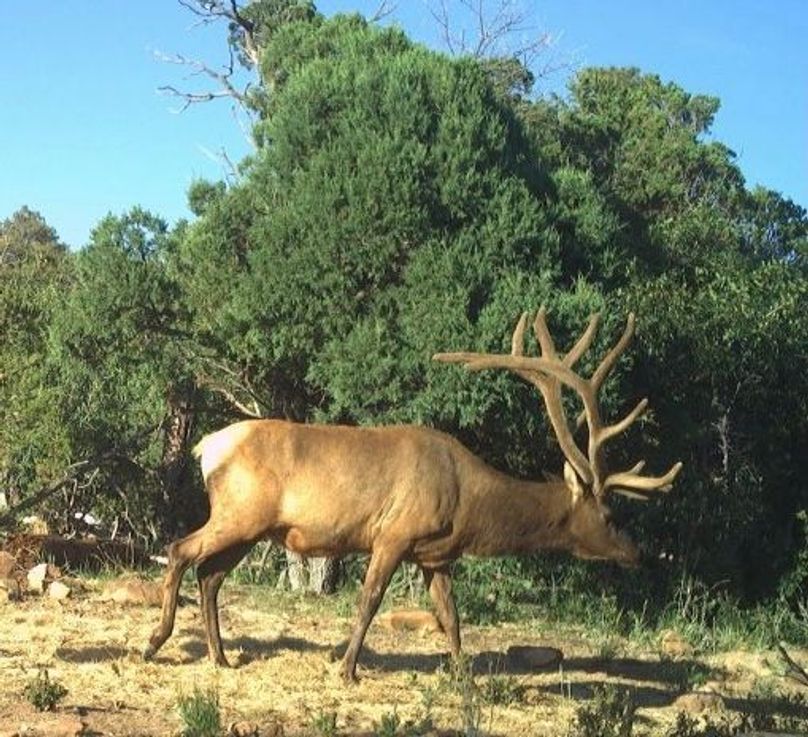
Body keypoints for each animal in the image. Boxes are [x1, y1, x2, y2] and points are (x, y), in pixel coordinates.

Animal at [143, 308, 682, 682]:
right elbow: (369, 601)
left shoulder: (434, 555)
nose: (638, 553)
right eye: (609, 513)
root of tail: (207, 447)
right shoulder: (394, 533)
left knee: (210, 574)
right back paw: (156, 641)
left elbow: (452, 618)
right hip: (241, 511)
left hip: (253, 528)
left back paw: (220, 657)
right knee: (181, 550)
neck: (467, 504)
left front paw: (463, 676)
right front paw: (347, 669)